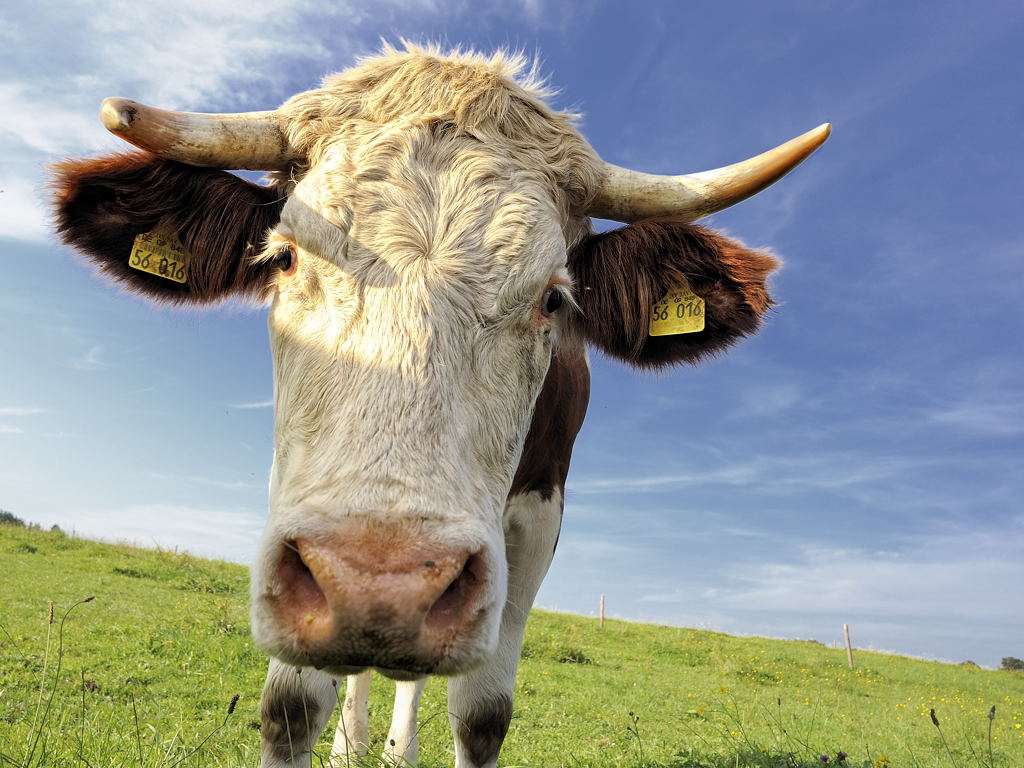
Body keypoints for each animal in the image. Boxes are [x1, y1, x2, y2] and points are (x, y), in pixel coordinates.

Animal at [51, 44, 828, 768]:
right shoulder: (292, 497)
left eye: (554, 298)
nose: (380, 584)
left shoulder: (536, 520)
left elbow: (481, 713)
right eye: (285, 257)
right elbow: (290, 705)